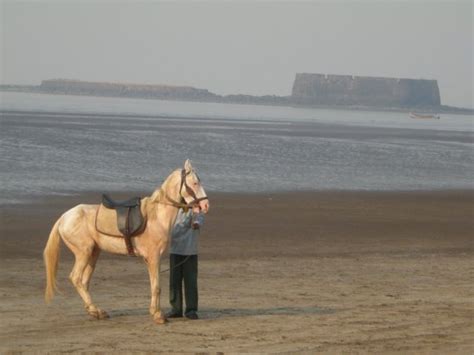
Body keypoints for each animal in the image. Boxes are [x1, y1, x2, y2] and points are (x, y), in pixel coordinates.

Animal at [43, 160, 209, 324]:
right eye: (195, 183)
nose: (205, 205)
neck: (156, 216)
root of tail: (64, 217)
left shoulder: (151, 259)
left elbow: (153, 285)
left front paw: (154, 311)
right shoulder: (154, 257)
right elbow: (157, 287)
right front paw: (158, 316)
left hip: (93, 254)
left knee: (83, 282)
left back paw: (96, 312)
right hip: (84, 252)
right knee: (76, 278)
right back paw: (94, 310)